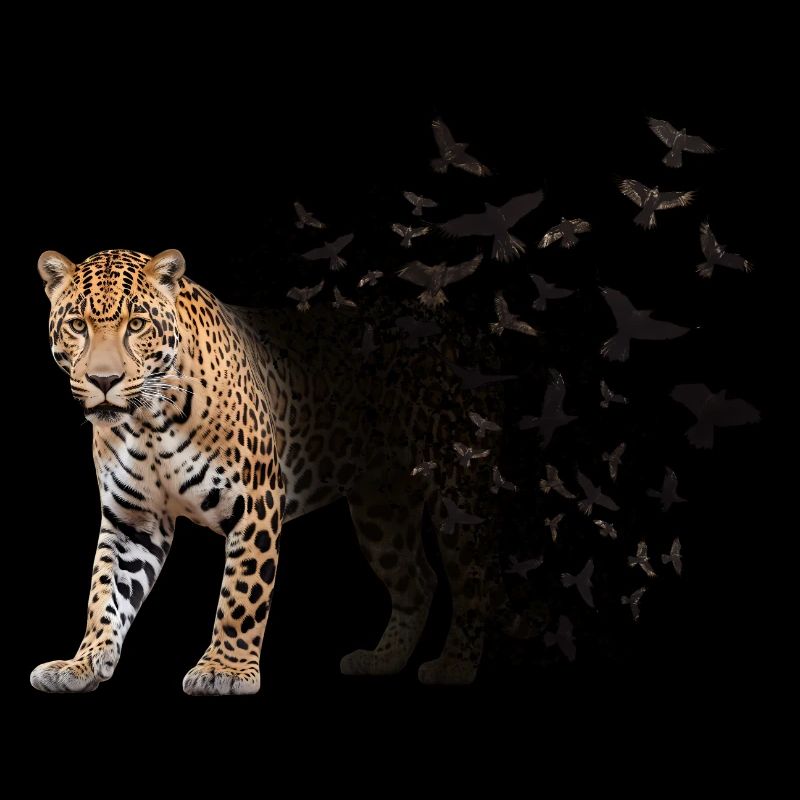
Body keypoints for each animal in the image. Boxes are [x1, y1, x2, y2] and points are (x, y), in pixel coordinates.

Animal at [30, 248, 508, 695]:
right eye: (77, 326)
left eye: (136, 325)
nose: (103, 380)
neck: (148, 423)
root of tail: (463, 329)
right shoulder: (133, 520)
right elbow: (105, 593)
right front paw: (82, 663)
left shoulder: (256, 501)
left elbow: (242, 595)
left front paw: (224, 670)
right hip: (381, 512)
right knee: (419, 581)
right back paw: (381, 660)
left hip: (456, 493)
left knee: (476, 581)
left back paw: (454, 666)